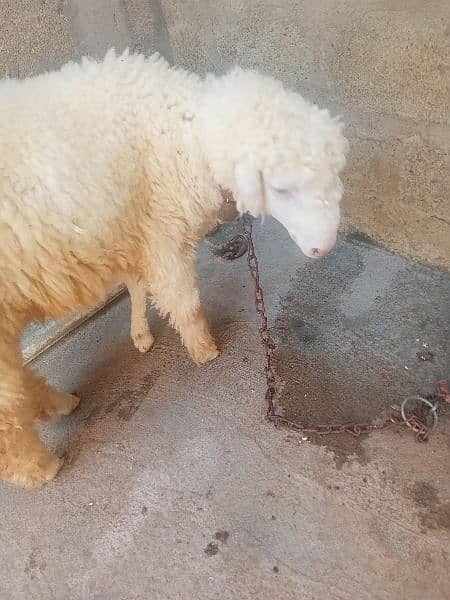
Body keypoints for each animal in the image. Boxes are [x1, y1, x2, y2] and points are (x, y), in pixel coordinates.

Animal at [0, 48, 348, 488]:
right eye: (282, 188)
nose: (325, 246)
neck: (183, 138)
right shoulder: (161, 231)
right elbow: (185, 301)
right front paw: (203, 349)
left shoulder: (134, 232)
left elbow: (136, 284)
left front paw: (140, 333)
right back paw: (40, 467)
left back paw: (58, 403)